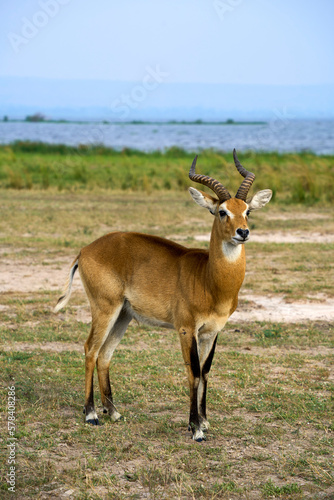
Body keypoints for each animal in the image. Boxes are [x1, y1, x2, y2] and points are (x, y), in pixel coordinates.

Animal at [54, 148, 272, 442]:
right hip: (105, 308)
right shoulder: (186, 329)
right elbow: (193, 372)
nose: (243, 232)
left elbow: (206, 372)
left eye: (247, 210)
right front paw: (195, 429)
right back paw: (91, 415)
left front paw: (204, 421)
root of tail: (85, 249)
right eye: (222, 212)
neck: (209, 279)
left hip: (123, 315)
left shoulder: (213, 331)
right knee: (91, 349)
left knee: (105, 354)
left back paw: (114, 413)